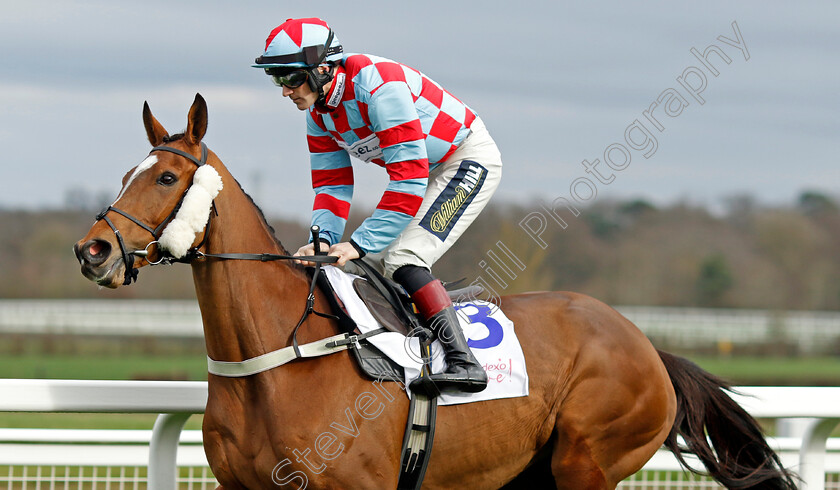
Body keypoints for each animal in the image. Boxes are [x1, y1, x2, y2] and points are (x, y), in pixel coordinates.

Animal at [74, 93, 796, 490]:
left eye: (167, 177)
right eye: (128, 170)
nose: (93, 250)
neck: (279, 360)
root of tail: (646, 345)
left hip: (587, 462)